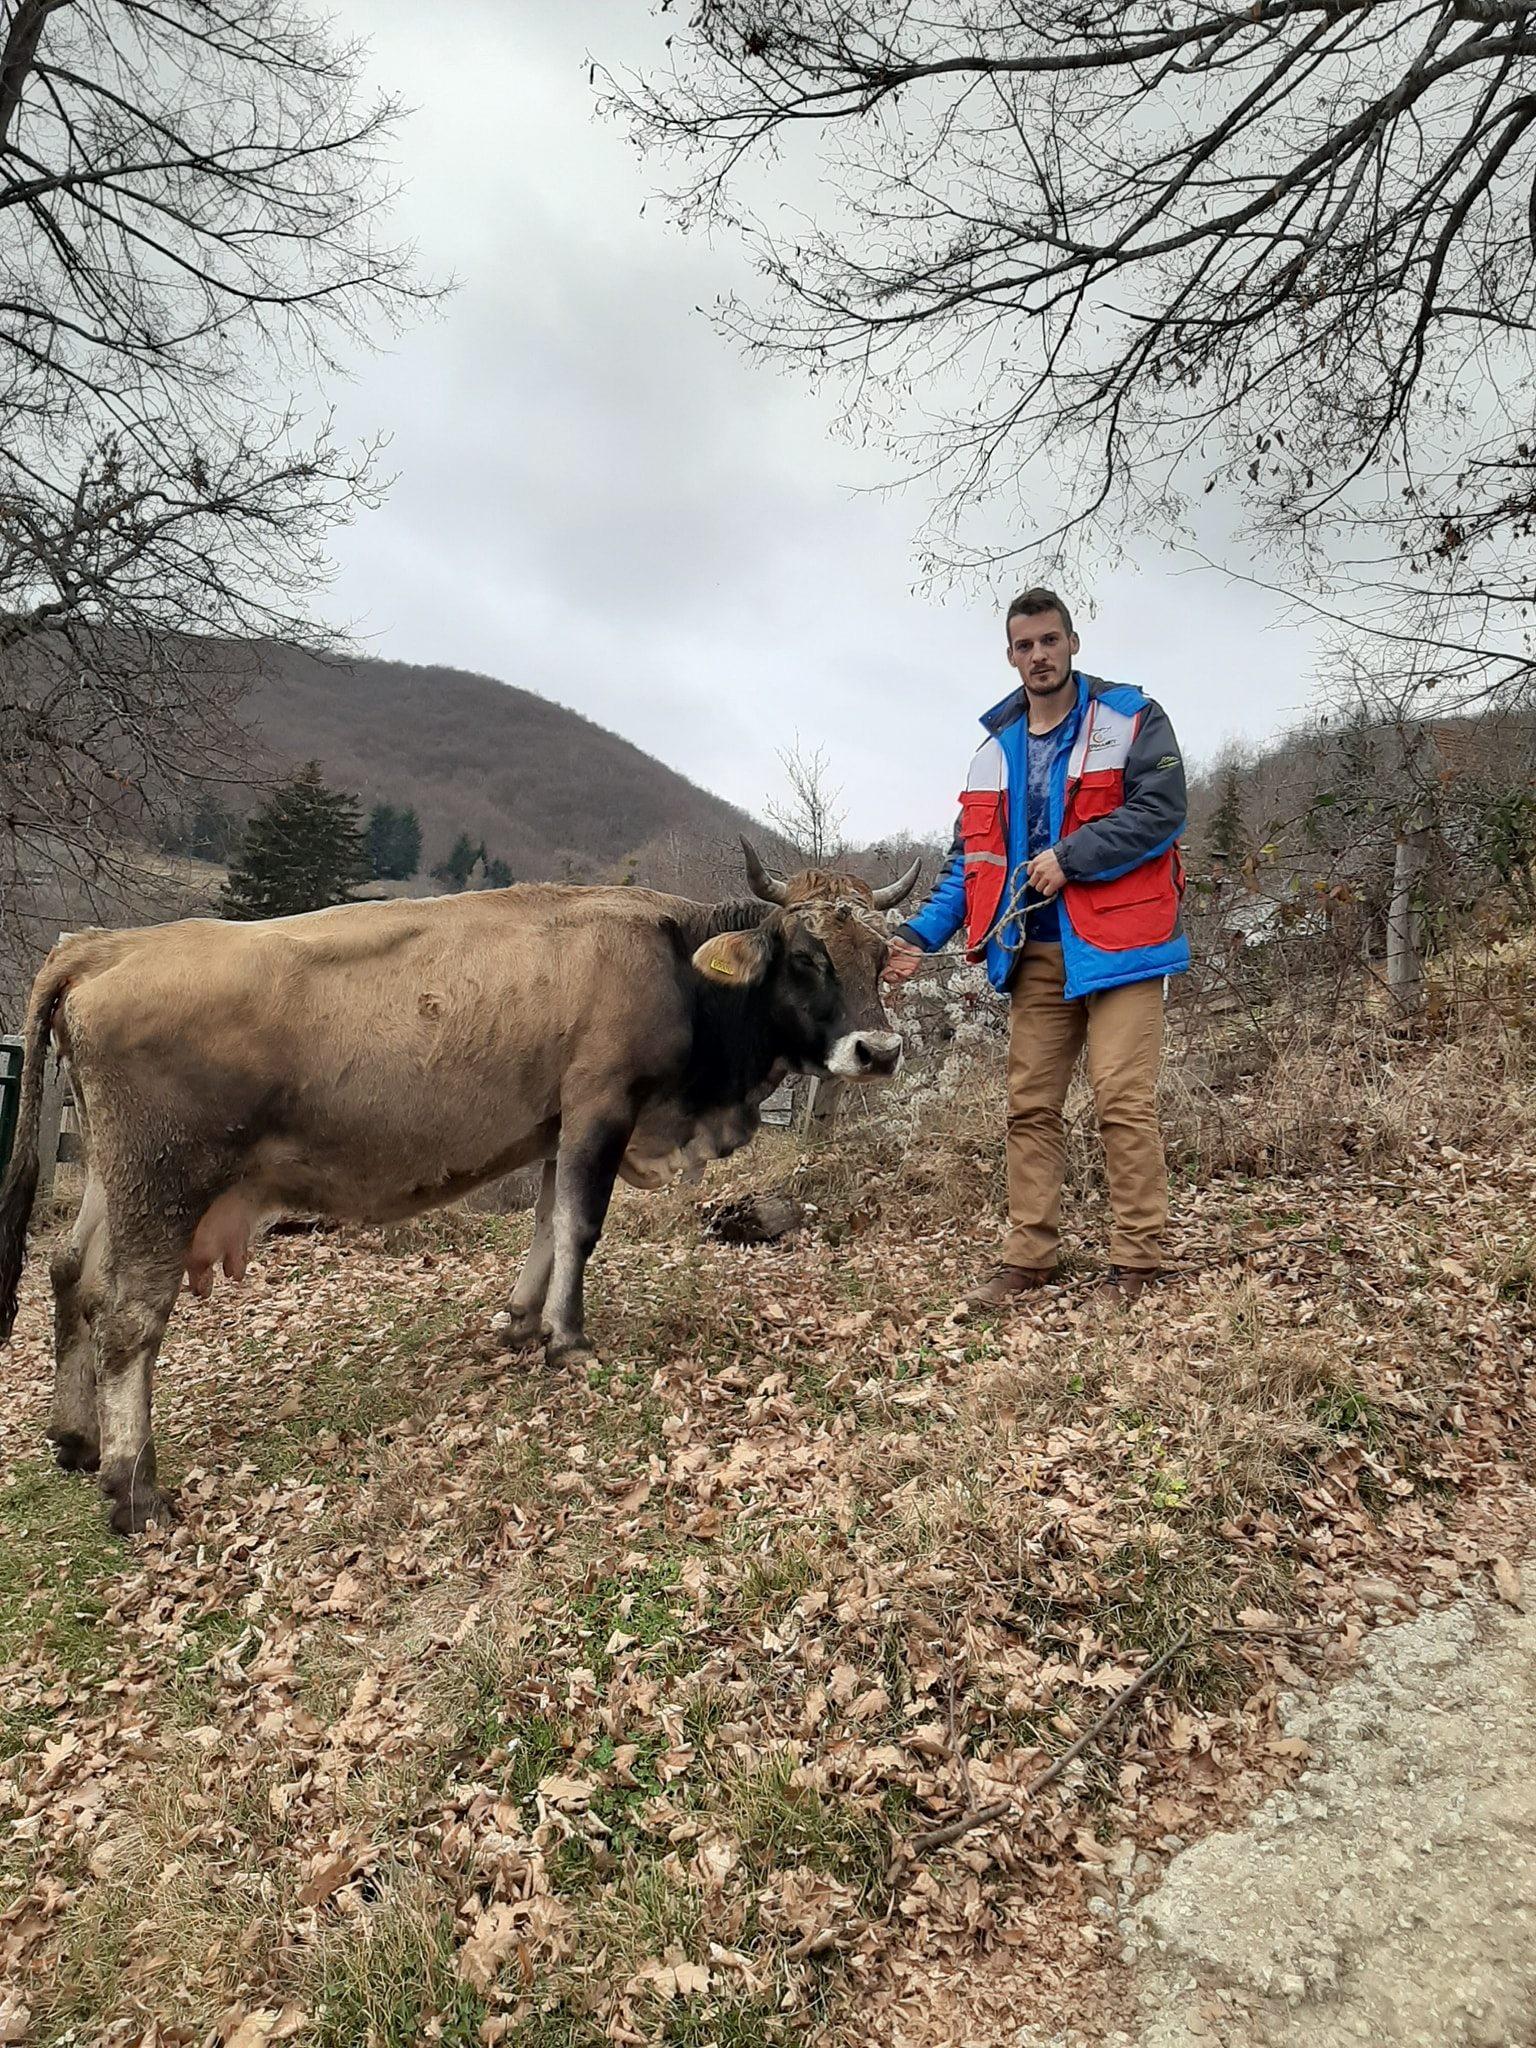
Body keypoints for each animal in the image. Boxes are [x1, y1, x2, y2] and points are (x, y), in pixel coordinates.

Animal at [0, 839, 913, 1531]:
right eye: (807, 958)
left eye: (879, 958)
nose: (878, 1051)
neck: (677, 964)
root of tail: (106, 945)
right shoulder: (600, 1105)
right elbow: (580, 1226)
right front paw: (567, 1339)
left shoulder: (556, 1122)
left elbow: (545, 1223)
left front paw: (518, 1321)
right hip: (164, 1180)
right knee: (129, 1320)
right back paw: (134, 1491)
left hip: (113, 1177)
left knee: (74, 1278)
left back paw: (77, 1439)